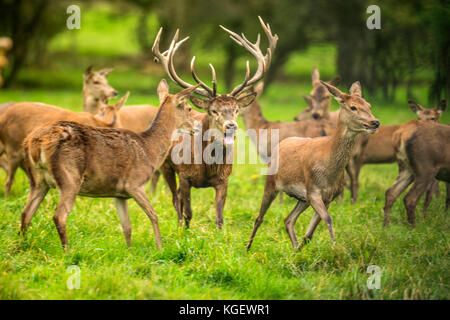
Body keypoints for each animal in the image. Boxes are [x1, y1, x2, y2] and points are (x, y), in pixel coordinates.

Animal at [20, 79, 197, 249]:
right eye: (189, 108)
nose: (195, 128)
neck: (149, 149)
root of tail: (35, 141)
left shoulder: (119, 194)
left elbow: (127, 227)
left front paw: (129, 252)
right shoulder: (134, 183)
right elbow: (153, 215)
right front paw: (160, 247)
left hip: (37, 180)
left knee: (25, 213)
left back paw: (22, 246)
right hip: (69, 176)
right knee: (59, 216)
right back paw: (67, 251)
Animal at [153, 17, 276, 229]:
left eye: (236, 110)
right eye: (213, 110)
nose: (231, 125)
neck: (207, 165)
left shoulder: (224, 178)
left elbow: (219, 217)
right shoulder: (184, 174)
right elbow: (188, 212)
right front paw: (185, 233)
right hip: (166, 165)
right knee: (175, 199)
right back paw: (178, 226)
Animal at [246, 80, 380, 250]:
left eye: (369, 105)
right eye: (353, 107)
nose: (375, 122)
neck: (329, 171)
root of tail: (282, 143)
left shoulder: (328, 196)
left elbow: (310, 232)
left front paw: (302, 249)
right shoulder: (313, 190)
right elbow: (328, 219)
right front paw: (336, 248)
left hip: (302, 198)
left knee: (289, 219)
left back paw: (294, 248)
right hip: (271, 183)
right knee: (259, 217)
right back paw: (248, 247)